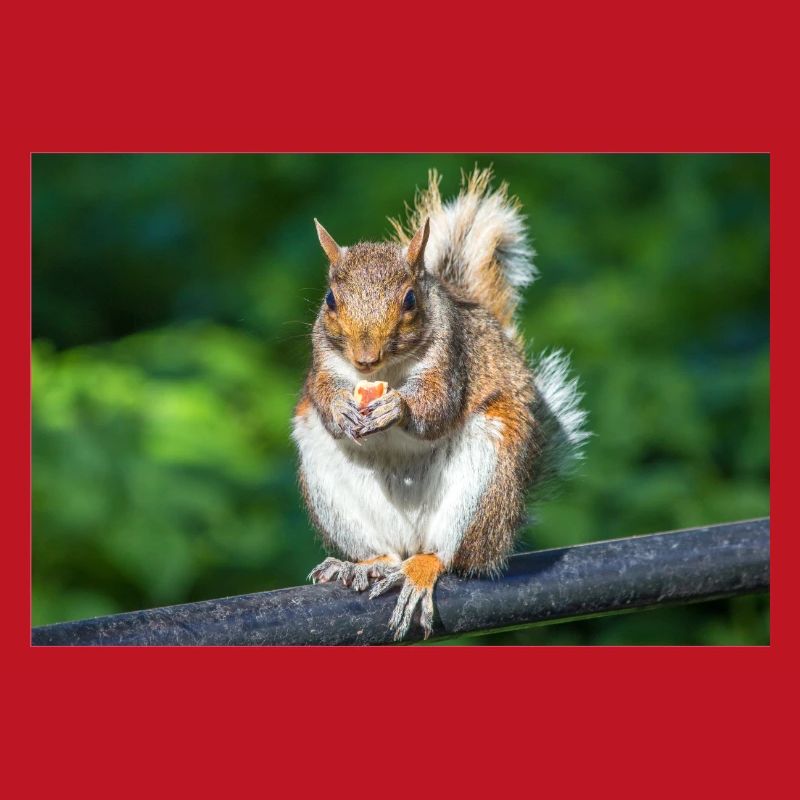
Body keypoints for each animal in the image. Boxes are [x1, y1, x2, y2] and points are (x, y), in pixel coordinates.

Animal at [292, 167, 588, 640]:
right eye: (330, 300)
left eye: (410, 299)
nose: (364, 358)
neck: (387, 372)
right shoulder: (323, 360)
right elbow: (322, 394)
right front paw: (340, 409)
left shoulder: (452, 357)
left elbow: (436, 406)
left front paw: (398, 409)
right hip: (327, 478)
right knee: (385, 550)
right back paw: (366, 564)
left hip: (486, 478)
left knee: (450, 556)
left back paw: (421, 570)